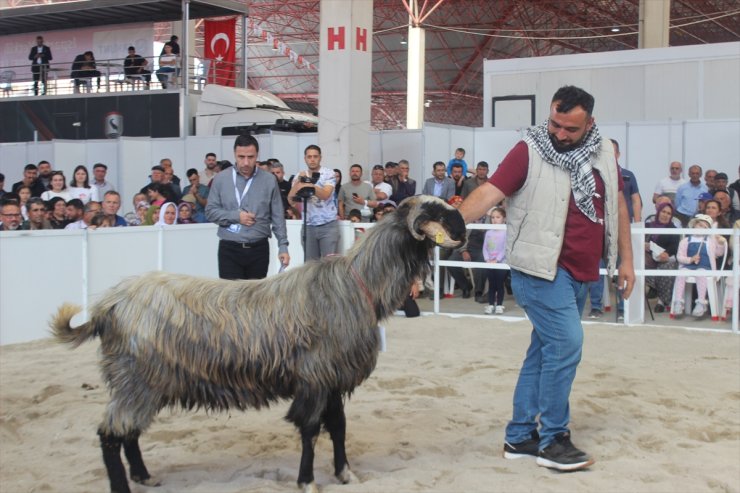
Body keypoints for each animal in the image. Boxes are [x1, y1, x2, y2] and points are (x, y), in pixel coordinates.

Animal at [52, 194, 466, 492]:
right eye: (437, 212)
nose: (464, 228)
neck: (359, 283)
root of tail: (107, 306)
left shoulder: (331, 376)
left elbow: (338, 426)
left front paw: (344, 473)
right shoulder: (315, 377)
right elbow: (311, 429)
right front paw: (307, 480)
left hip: (144, 382)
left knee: (128, 433)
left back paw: (144, 476)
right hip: (136, 379)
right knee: (110, 436)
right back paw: (125, 485)